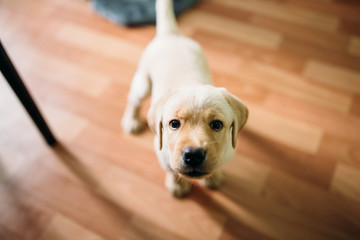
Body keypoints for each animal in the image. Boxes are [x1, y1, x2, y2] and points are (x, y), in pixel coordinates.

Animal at [121, 0, 248, 197]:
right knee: (133, 99)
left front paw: (213, 177)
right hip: (143, 82)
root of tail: (171, 34)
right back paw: (131, 120)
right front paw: (177, 186)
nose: (193, 155)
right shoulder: (164, 155)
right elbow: (173, 170)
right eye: (174, 124)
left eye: (217, 125)